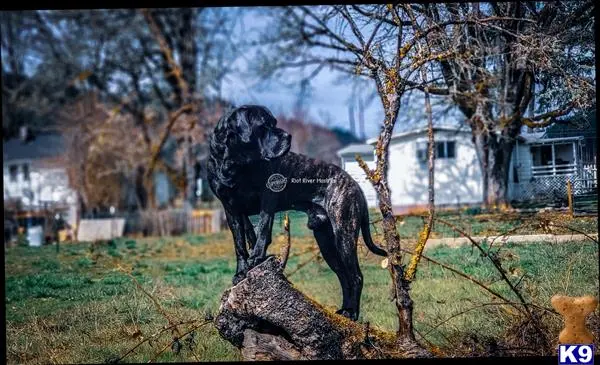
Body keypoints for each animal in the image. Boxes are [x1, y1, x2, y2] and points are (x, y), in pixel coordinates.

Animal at [206, 103, 386, 318]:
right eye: (264, 125)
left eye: (274, 122)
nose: (288, 136)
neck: (235, 162)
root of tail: (355, 184)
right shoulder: (231, 208)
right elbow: (240, 243)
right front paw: (241, 271)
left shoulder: (268, 198)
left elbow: (263, 229)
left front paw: (256, 258)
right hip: (326, 241)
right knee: (344, 277)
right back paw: (343, 311)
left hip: (344, 233)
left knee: (356, 276)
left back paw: (352, 314)